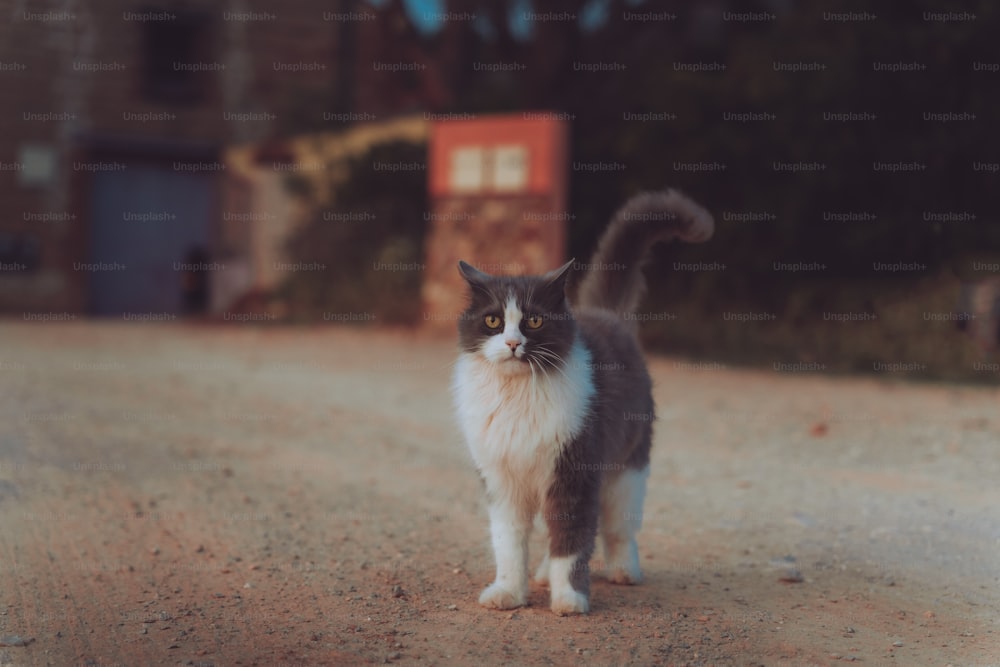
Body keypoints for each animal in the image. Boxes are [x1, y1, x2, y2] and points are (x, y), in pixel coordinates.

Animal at [450, 189, 716, 616]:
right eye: (493, 322)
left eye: (534, 322)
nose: (513, 343)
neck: (519, 396)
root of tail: (606, 314)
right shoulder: (502, 481)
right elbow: (509, 545)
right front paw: (509, 592)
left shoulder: (574, 474)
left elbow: (572, 544)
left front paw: (569, 599)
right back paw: (542, 574)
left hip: (627, 472)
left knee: (618, 530)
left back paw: (624, 570)